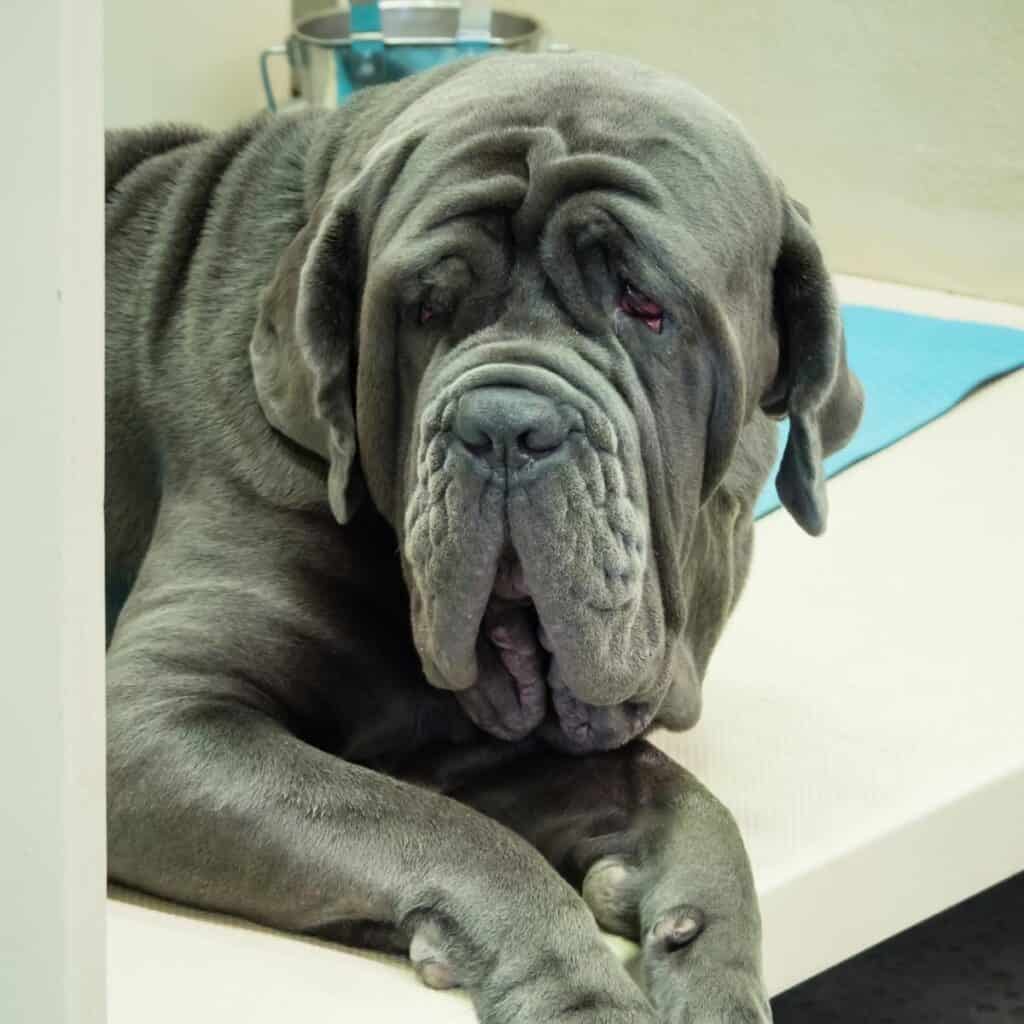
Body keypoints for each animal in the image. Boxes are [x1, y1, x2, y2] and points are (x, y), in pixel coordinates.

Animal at [108, 54, 864, 1024]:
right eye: (424, 307)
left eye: (643, 303)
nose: (503, 425)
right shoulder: (156, 715)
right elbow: (443, 832)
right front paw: (577, 992)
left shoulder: (460, 741)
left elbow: (681, 797)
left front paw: (707, 959)